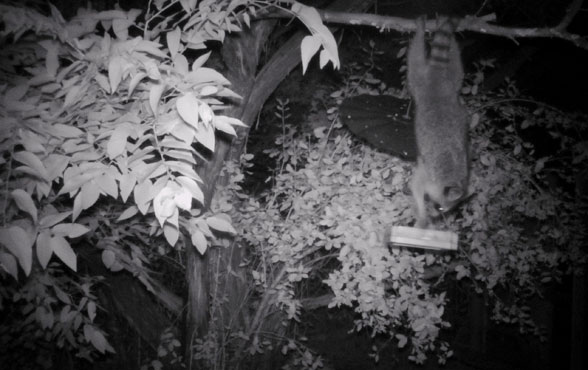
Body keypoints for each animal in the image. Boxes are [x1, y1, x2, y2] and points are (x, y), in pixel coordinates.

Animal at [406, 17, 470, 228]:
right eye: (441, 208)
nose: (437, 215)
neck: (452, 178)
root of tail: (438, 80)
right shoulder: (429, 175)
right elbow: (416, 185)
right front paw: (422, 215)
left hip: (453, 81)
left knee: (456, 63)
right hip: (420, 83)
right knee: (415, 62)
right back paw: (419, 32)